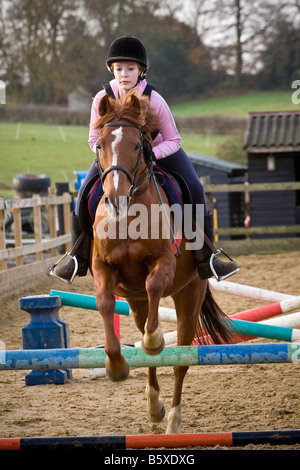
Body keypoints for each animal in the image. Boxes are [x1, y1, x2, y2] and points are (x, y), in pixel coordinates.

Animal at [90, 92, 231, 434]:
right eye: (99, 145)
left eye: (137, 146)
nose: (116, 200)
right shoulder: (102, 266)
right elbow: (104, 303)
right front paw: (115, 364)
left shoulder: (165, 260)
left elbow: (154, 285)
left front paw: (155, 341)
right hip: (137, 303)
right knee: (147, 346)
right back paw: (154, 407)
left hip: (189, 298)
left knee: (179, 360)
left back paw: (172, 421)